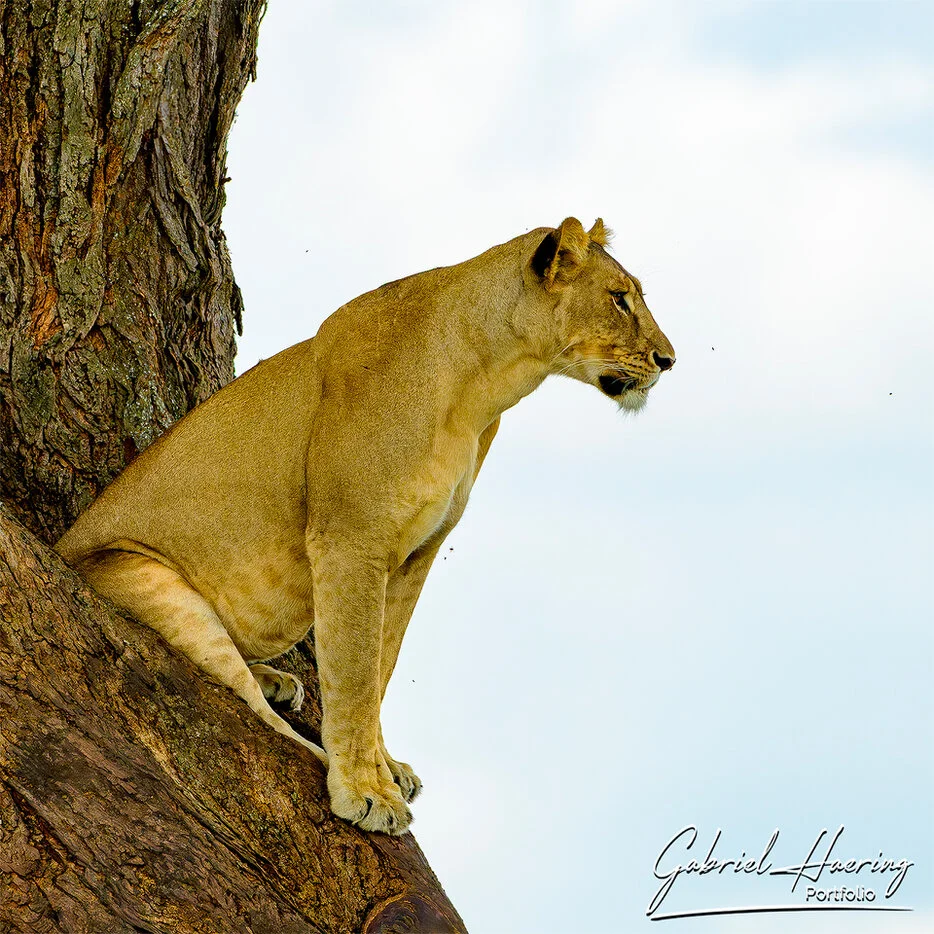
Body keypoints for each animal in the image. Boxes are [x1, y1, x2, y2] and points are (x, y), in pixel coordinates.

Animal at [56, 217, 675, 835]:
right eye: (620, 299)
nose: (669, 360)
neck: (483, 385)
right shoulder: (351, 539)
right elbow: (354, 671)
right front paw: (366, 791)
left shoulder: (419, 552)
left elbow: (382, 665)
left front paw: (385, 765)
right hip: (147, 580)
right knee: (251, 709)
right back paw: (301, 730)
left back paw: (277, 681)